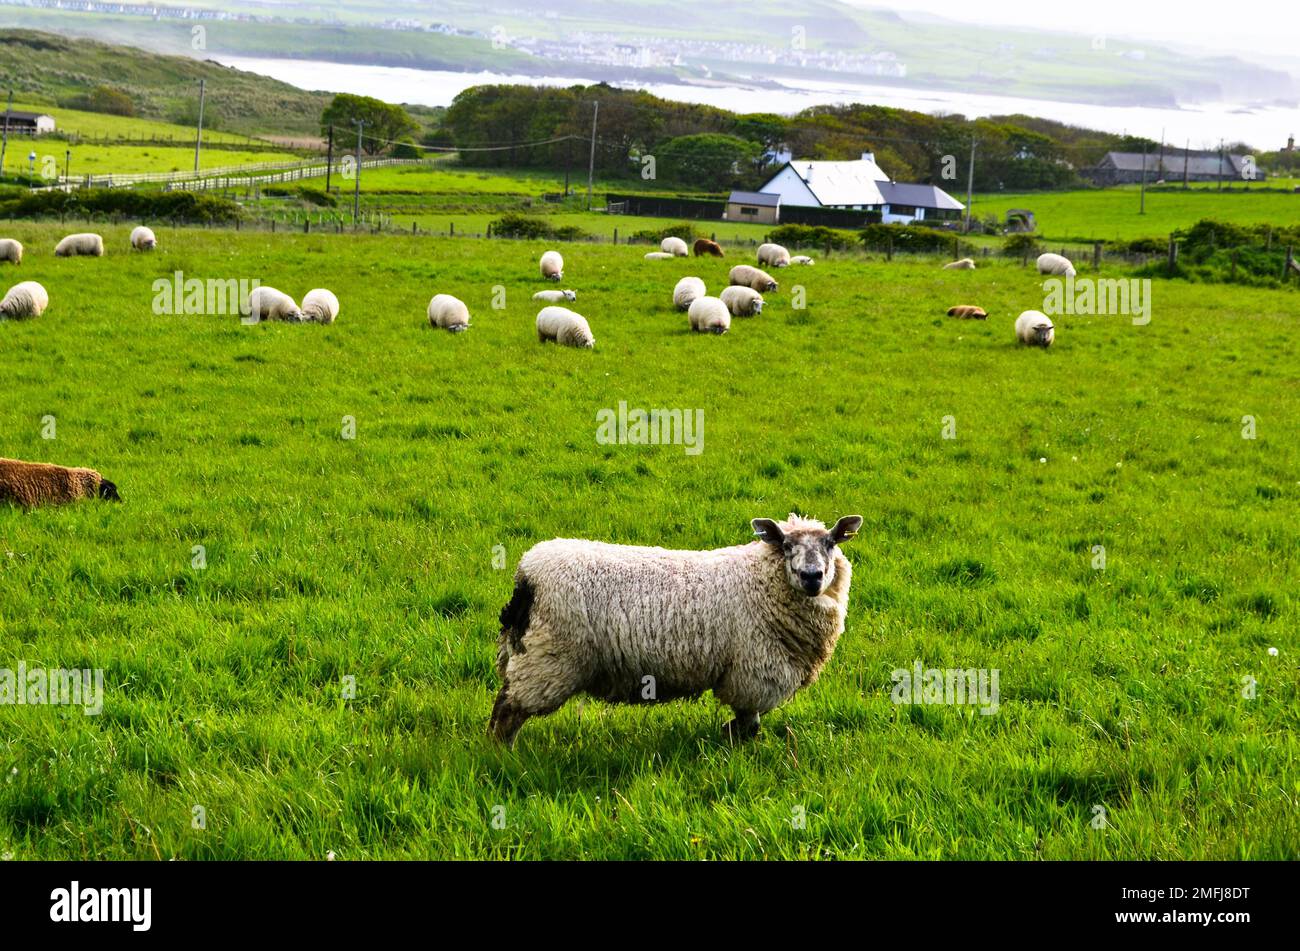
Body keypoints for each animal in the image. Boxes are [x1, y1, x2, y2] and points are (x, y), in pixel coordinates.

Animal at [489, 512, 864, 745]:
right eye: (786, 545)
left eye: (831, 543)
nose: (812, 576)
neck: (760, 580)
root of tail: (526, 575)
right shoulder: (752, 672)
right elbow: (750, 723)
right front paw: (731, 738)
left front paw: (726, 734)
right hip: (549, 657)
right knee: (507, 713)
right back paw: (504, 758)